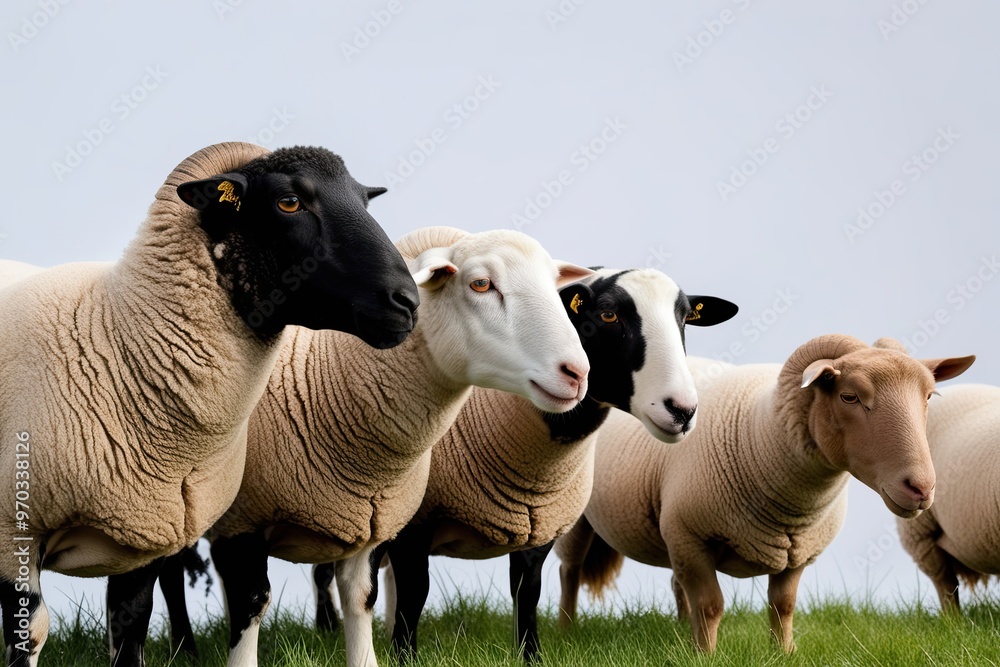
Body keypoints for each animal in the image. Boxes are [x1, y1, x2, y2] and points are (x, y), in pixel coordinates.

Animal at [0, 141, 420, 667]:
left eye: (365, 200)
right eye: (288, 202)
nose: (407, 302)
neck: (115, 341)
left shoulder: (144, 529)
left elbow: (132, 625)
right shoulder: (14, 533)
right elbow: (29, 633)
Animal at [150, 226, 595, 667]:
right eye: (481, 284)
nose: (576, 373)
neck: (324, 377)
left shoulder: (369, 520)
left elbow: (363, 598)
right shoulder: (243, 520)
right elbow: (253, 601)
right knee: (171, 576)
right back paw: (184, 649)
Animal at [315, 268, 737, 663]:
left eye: (685, 318)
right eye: (608, 314)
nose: (682, 410)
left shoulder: (538, 522)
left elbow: (526, 594)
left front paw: (530, 656)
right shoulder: (414, 522)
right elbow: (416, 592)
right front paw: (404, 657)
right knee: (327, 570)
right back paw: (327, 630)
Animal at [555, 335, 975, 654]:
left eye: (929, 397)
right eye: (850, 397)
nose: (921, 488)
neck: (761, 433)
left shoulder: (796, 549)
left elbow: (782, 606)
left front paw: (782, 652)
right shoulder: (692, 536)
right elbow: (711, 606)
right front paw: (706, 657)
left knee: (676, 584)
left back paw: (678, 631)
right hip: (584, 516)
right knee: (569, 571)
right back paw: (567, 629)